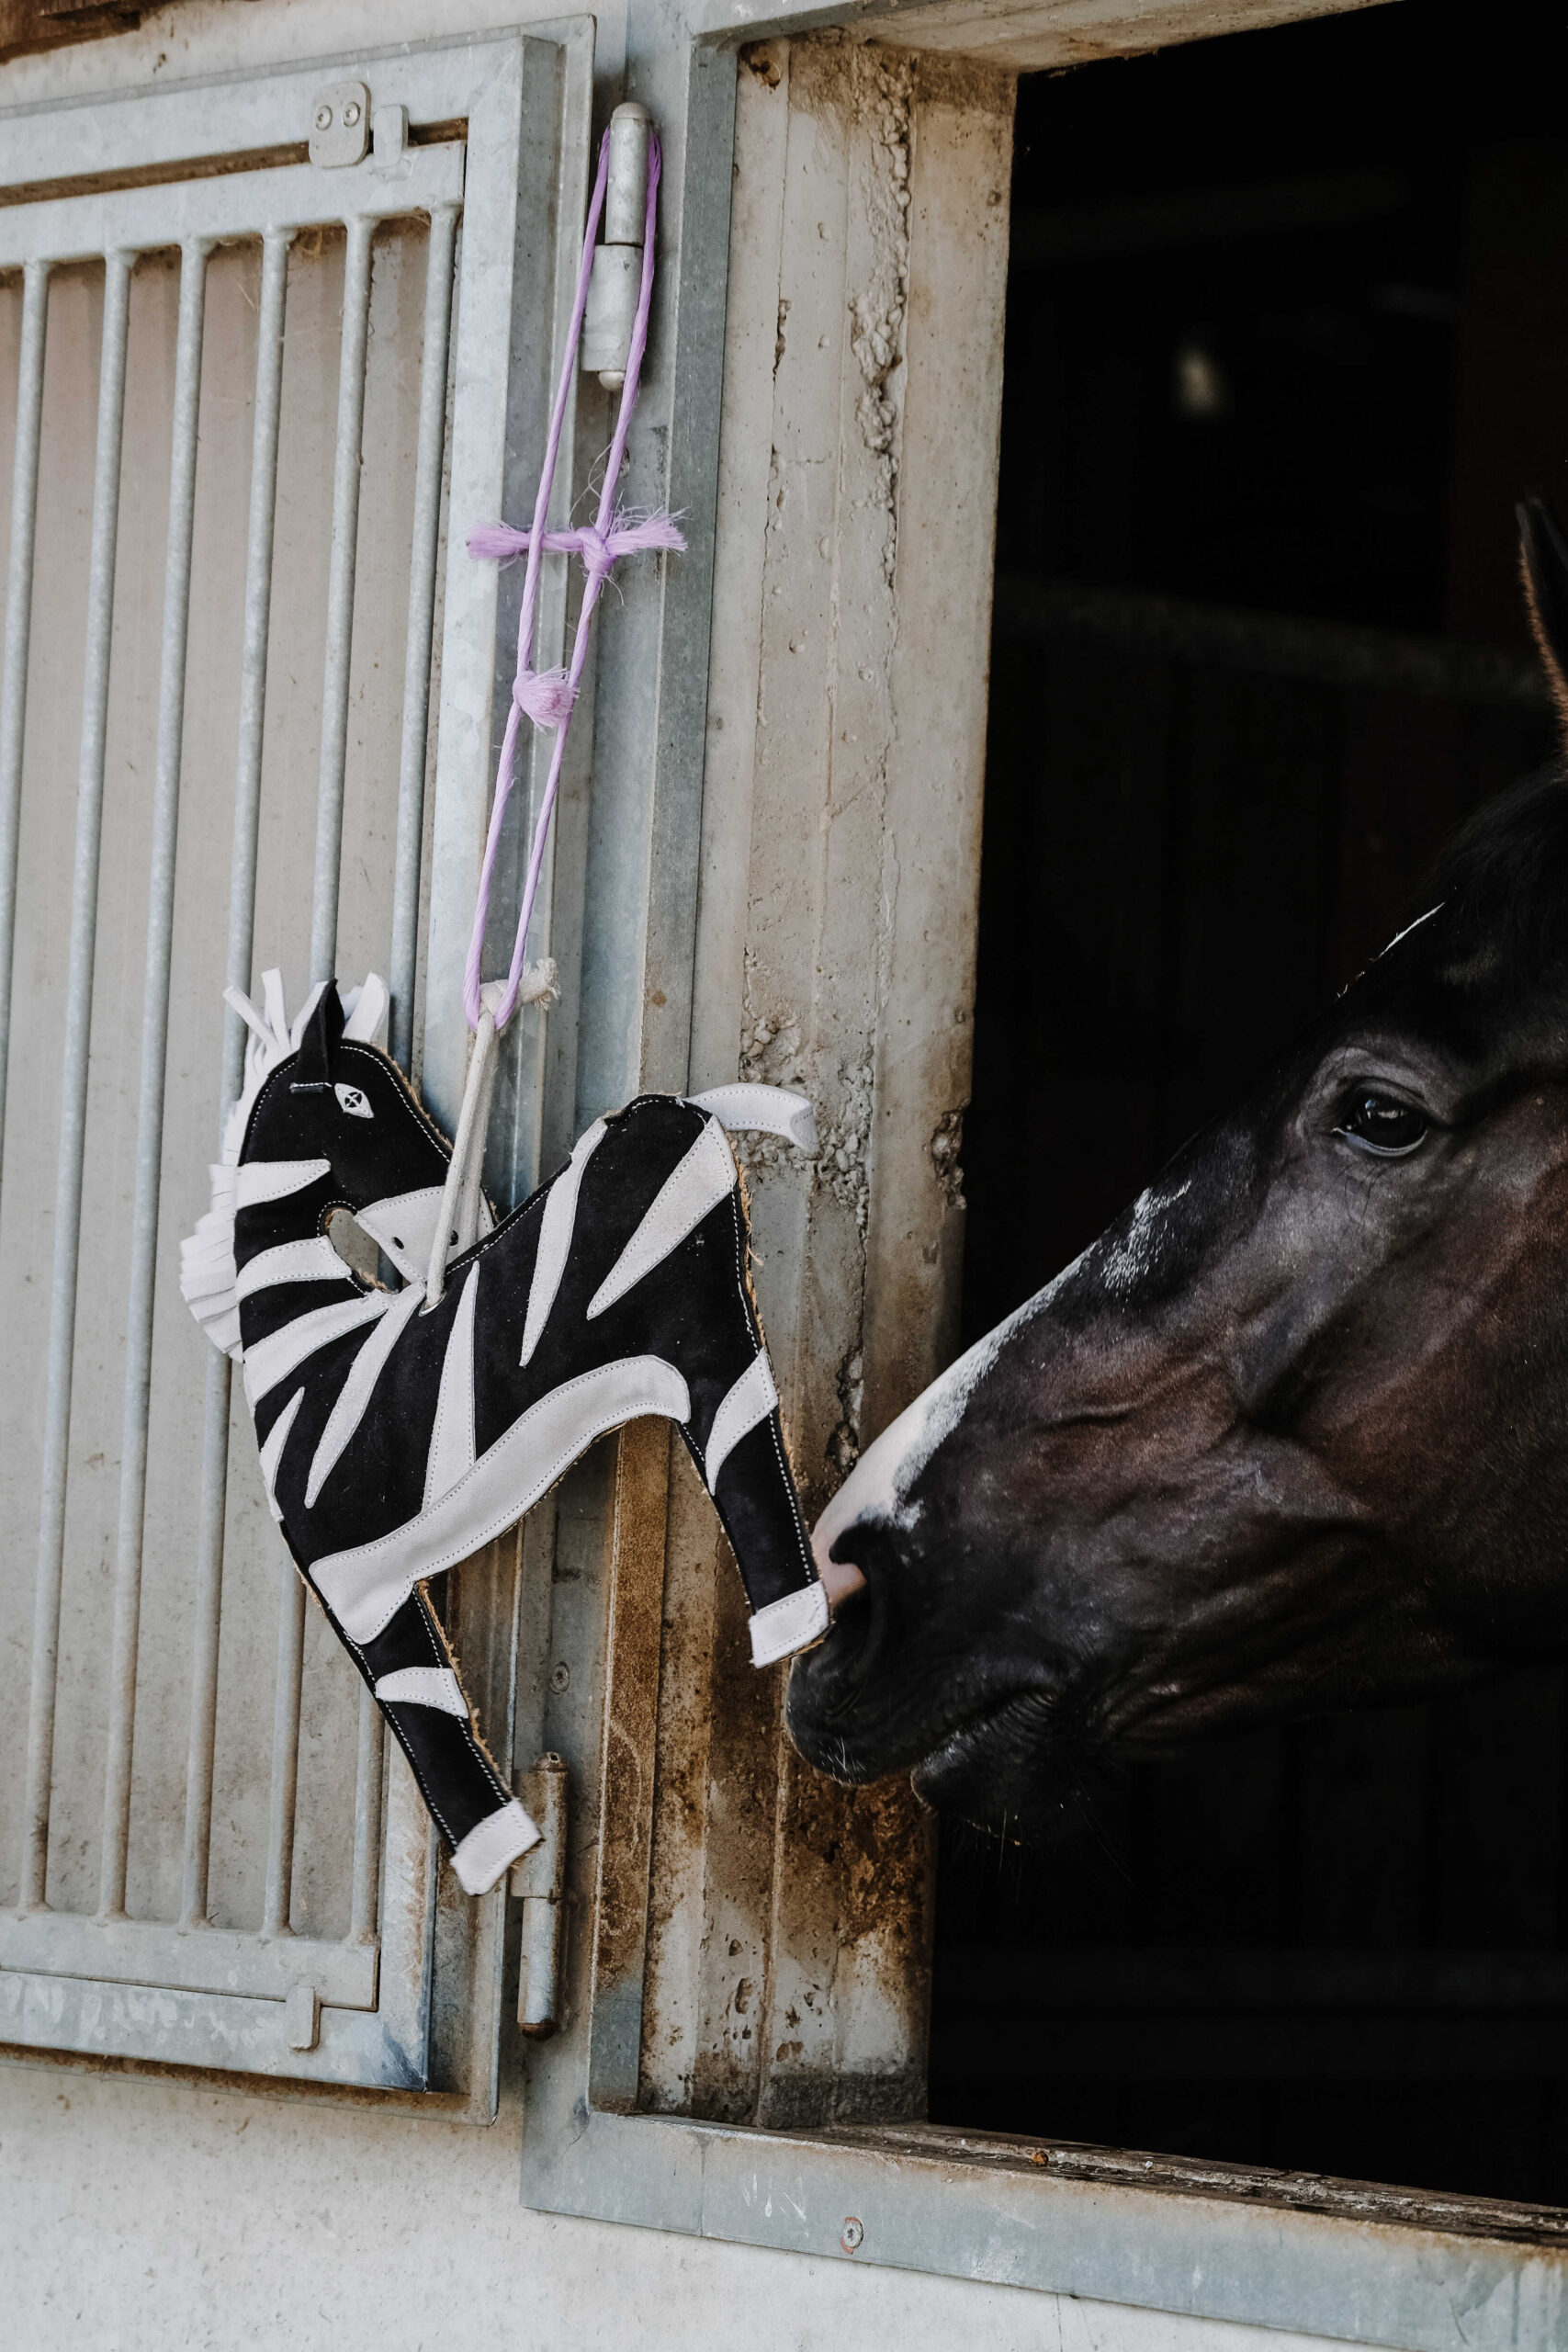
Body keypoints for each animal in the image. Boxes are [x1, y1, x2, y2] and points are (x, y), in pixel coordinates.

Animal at [182, 969, 826, 1895]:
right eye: (355, 1098)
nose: (467, 1228)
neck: (305, 1344)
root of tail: (681, 1106)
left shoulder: (348, 1584)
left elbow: (424, 1715)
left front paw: (498, 1856)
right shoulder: (361, 1580)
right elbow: (431, 1708)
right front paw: (505, 1854)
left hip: (699, 1333)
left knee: (748, 1467)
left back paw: (790, 1632)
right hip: (707, 1341)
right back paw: (794, 1629)